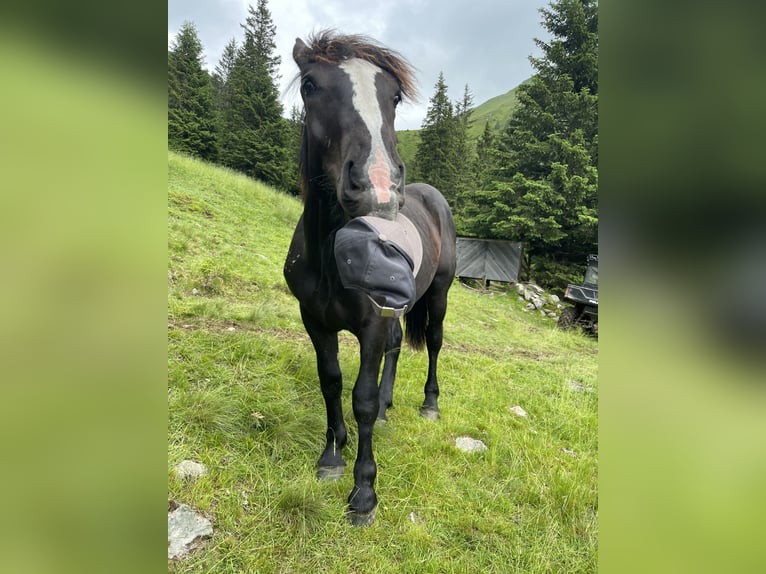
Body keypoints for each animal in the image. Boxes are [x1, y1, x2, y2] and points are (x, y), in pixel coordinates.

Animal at [286, 30, 456, 528]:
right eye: (310, 86)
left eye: (394, 97)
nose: (376, 186)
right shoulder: (315, 321)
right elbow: (331, 381)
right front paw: (331, 456)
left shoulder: (372, 324)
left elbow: (359, 395)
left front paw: (364, 493)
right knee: (397, 348)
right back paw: (386, 408)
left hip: (438, 295)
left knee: (432, 343)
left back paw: (429, 405)